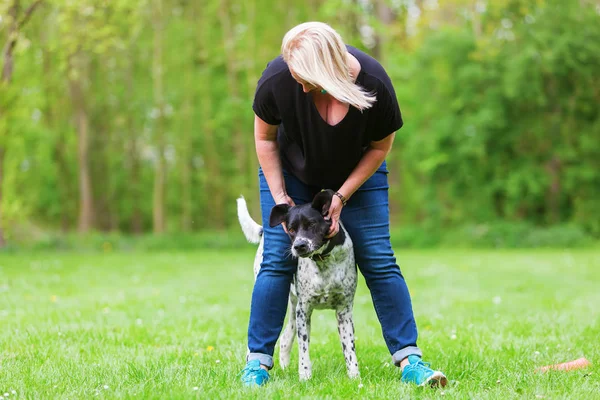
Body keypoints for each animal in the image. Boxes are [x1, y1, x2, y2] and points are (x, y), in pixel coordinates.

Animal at [237, 189, 358, 380]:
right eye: (291, 229)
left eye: (312, 224)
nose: (299, 246)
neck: (323, 262)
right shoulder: (304, 310)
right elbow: (304, 349)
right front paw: (305, 376)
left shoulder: (344, 311)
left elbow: (349, 349)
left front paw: (355, 377)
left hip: (294, 310)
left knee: (285, 338)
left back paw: (285, 368)